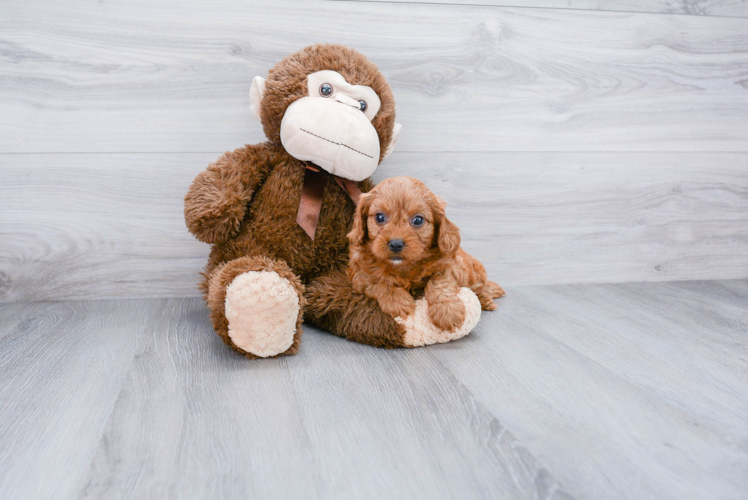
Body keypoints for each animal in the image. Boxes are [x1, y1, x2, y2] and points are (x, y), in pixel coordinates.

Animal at [348, 176, 506, 332]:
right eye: (380, 217)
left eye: (418, 220)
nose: (396, 244)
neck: (404, 267)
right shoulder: (360, 278)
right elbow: (379, 283)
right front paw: (397, 301)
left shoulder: (448, 266)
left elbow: (439, 283)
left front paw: (447, 311)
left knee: (480, 286)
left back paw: (486, 299)